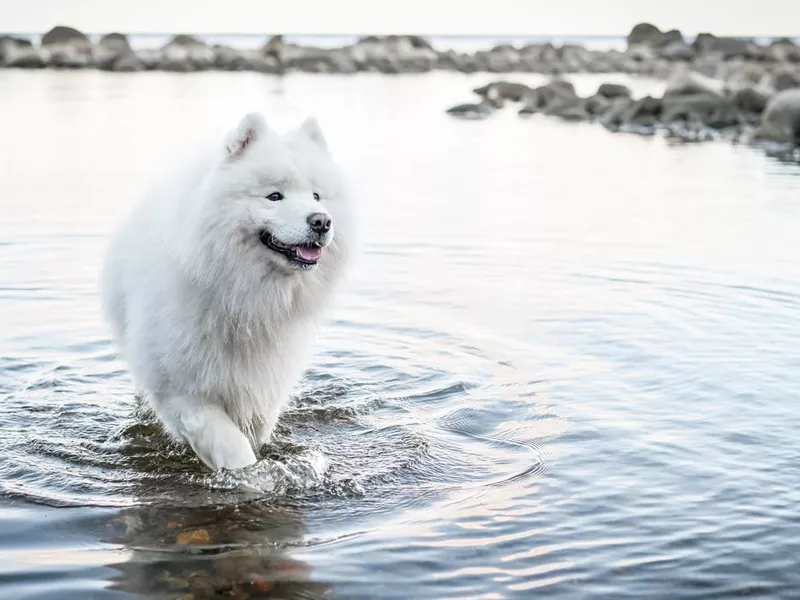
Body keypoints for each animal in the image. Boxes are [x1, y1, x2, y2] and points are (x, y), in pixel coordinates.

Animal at [100, 111, 354, 468]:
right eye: (274, 196)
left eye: (316, 196)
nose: (321, 221)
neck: (243, 294)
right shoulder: (182, 389)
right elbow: (230, 445)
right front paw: (250, 475)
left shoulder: (262, 384)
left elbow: (255, 431)